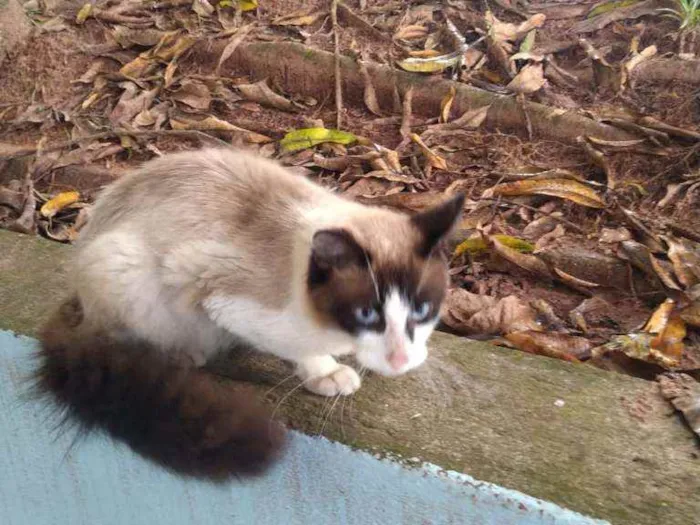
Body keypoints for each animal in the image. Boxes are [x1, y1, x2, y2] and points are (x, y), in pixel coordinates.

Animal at [37, 146, 464, 478]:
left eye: (421, 309)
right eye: (365, 314)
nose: (400, 359)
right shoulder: (221, 295)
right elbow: (301, 350)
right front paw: (327, 372)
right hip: (121, 267)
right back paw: (182, 354)